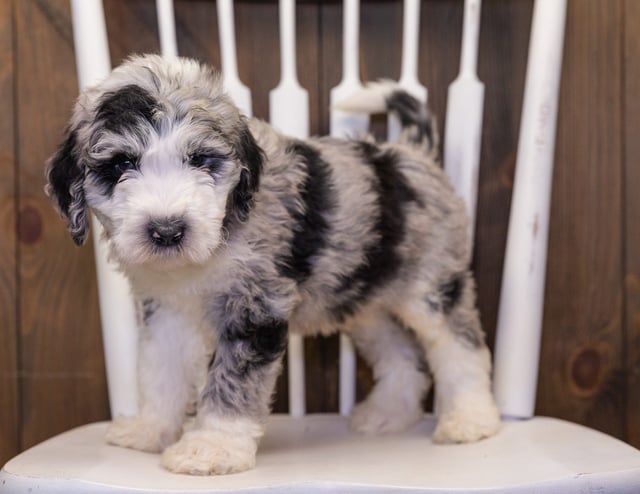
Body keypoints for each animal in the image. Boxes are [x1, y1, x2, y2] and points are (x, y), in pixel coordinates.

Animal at [47, 56, 502, 476]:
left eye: (201, 159)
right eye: (121, 165)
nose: (167, 230)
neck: (222, 234)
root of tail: (410, 152)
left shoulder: (256, 307)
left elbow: (233, 381)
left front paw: (211, 448)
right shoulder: (169, 311)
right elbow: (161, 370)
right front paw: (149, 430)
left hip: (433, 285)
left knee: (461, 346)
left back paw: (471, 420)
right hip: (363, 299)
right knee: (403, 356)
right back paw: (388, 414)